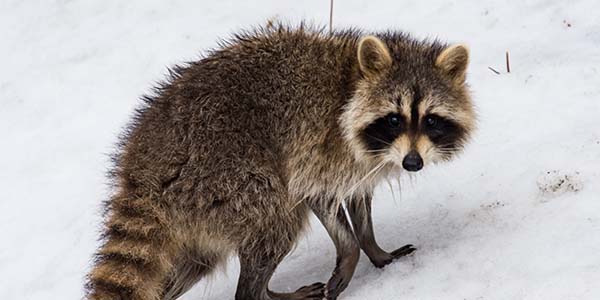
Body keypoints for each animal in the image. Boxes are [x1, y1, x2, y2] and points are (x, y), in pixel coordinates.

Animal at [86, 23, 476, 300]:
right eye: (394, 119)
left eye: (431, 120)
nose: (413, 163)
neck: (351, 80)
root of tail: (142, 169)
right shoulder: (319, 151)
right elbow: (315, 197)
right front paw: (351, 254)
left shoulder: (362, 165)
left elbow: (358, 201)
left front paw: (375, 250)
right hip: (226, 177)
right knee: (277, 218)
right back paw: (261, 292)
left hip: (195, 219)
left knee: (188, 264)